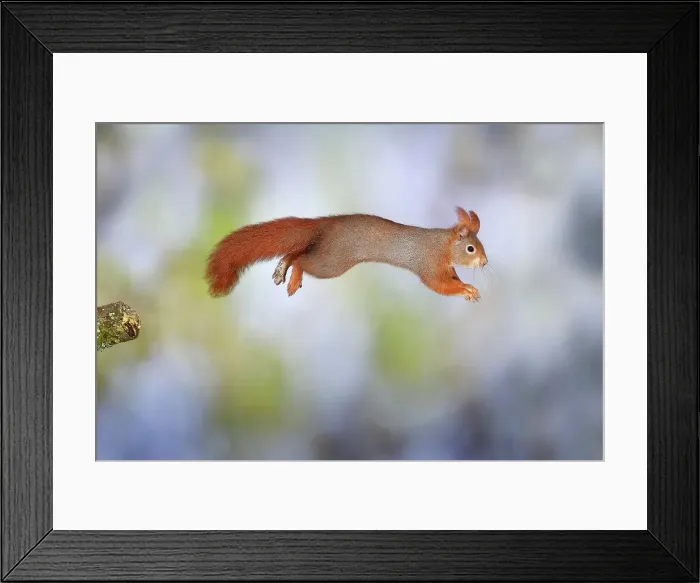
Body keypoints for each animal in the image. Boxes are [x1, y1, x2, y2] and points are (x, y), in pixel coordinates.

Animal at [205, 206, 488, 301]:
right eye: (471, 248)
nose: (485, 262)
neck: (444, 246)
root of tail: (325, 225)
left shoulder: (446, 267)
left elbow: (453, 279)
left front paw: (468, 288)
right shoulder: (429, 264)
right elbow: (440, 286)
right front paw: (466, 289)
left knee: (296, 251)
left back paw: (282, 270)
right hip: (331, 262)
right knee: (301, 258)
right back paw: (292, 276)